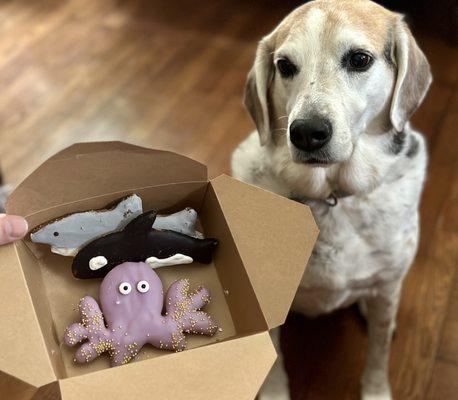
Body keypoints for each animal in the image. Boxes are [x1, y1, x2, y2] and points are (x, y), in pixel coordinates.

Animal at [231, 0, 432, 400]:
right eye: (284, 66)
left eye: (359, 59)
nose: (307, 133)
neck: (331, 194)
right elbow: (274, 356)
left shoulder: (388, 285)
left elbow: (377, 353)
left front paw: (376, 391)